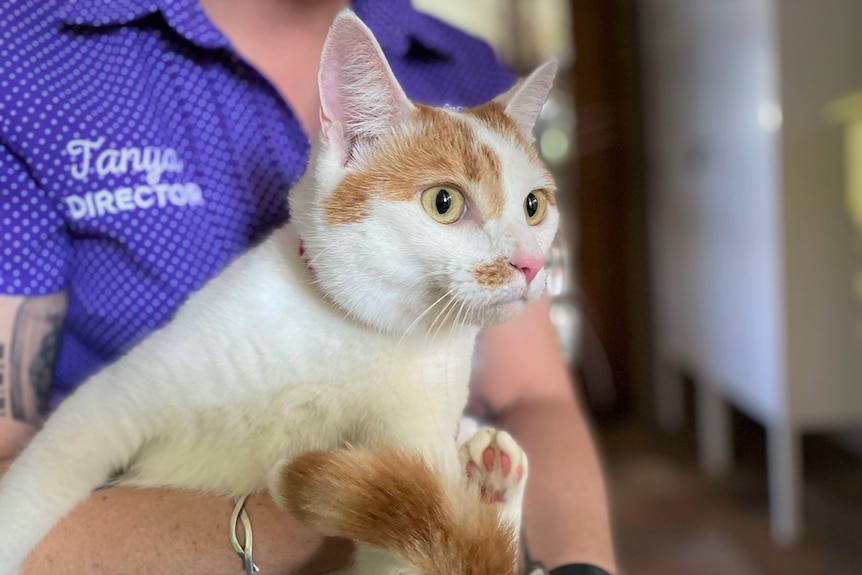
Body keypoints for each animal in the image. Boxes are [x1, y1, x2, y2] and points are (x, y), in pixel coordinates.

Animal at [0, 9, 560, 575]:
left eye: (534, 206)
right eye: (444, 202)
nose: (532, 264)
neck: (353, 334)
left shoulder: (412, 457)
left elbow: (429, 538)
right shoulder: (115, 400)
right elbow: (47, 469)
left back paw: (492, 480)